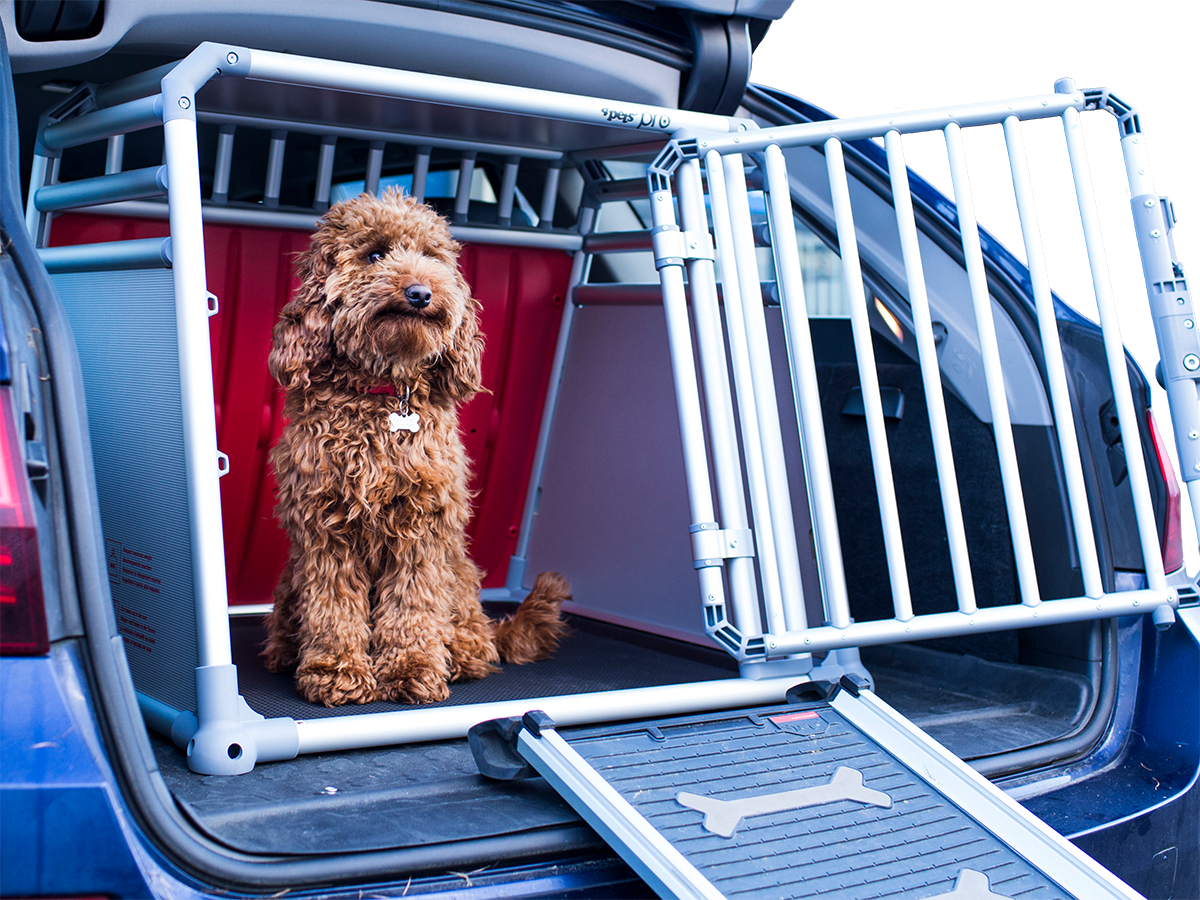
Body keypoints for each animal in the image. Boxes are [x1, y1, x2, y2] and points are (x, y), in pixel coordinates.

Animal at [262, 189, 568, 707]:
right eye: (375, 254)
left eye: (431, 256)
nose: (421, 293)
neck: (384, 391)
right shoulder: (324, 529)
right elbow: (333, 605)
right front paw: (336, 670)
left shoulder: (423, 527)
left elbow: (413, 605)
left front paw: (411, 669)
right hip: (288, 581)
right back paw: (286, 653)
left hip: (459, 576)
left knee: (473, 637)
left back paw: (461, 654)